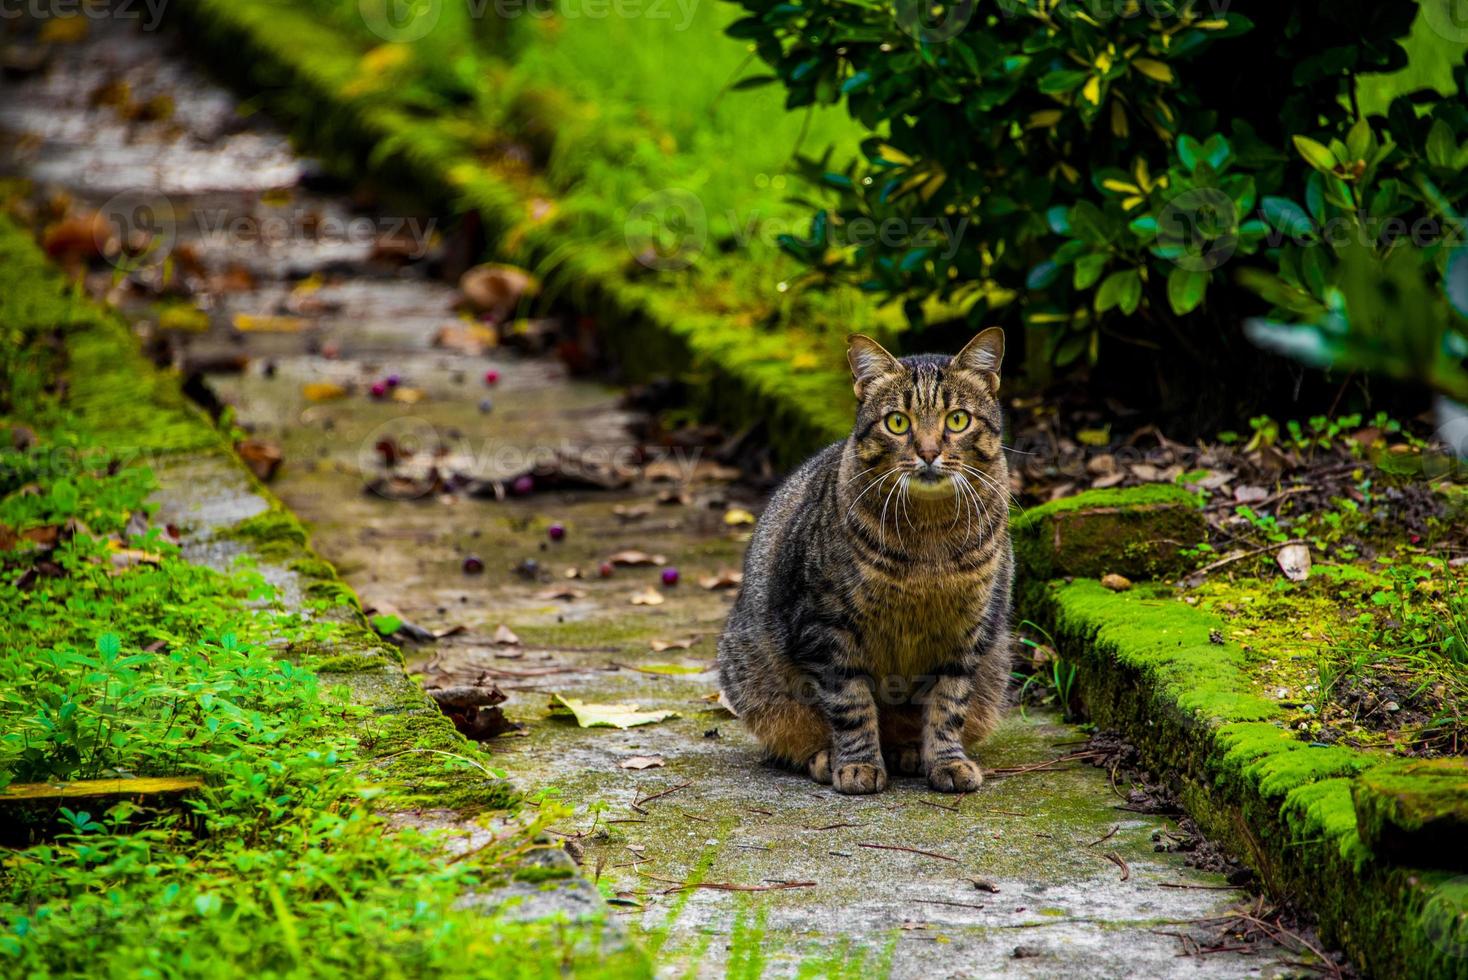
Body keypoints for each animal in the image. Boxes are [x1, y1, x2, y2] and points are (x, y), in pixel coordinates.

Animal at [716, 328, 1015, 798]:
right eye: (898, 423)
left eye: (957, 420)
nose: (928, 451)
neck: (929, 539)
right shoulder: (826, 628)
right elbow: (851, 703)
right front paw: (857, 764)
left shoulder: (968, 631)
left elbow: (948, 704)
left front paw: (946, 761)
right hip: (753, 675)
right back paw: (828, 757)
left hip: (996, 663)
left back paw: (909, 752)